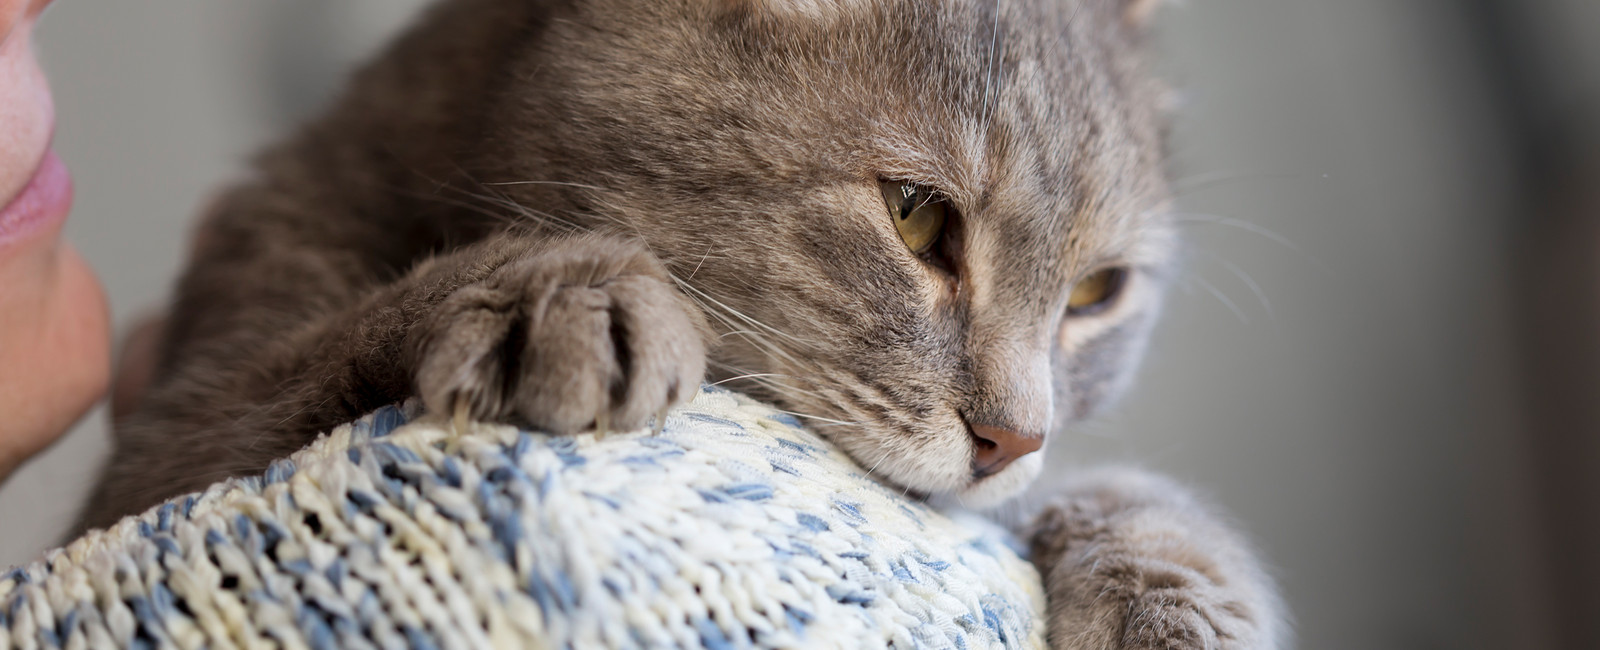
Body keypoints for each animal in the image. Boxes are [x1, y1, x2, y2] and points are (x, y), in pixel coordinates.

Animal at [84, 0, 1286, 643]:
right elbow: (303, 356)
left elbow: (1121, 489)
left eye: (1095, 294)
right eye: (916, 214)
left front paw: (1175, 594)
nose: (1011, 439)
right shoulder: (164, 444)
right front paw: (550, 287)